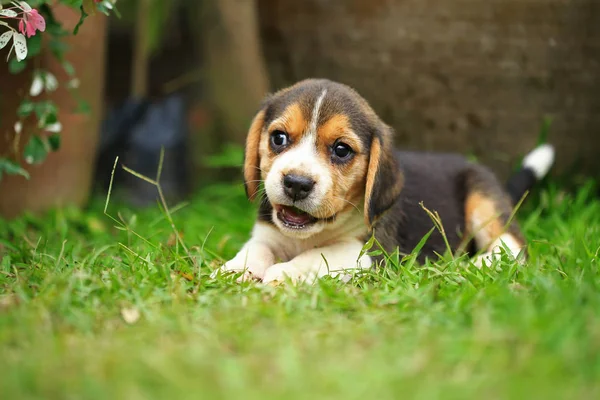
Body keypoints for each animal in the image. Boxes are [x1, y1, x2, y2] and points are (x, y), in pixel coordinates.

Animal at [214, 79, 552, 284]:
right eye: (279, 138)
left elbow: (319, 256)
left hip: (483, 198)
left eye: (341, 150)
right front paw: (233, 270)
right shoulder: (267, 234)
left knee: (511, 247)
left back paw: (472, 265)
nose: (296, 183)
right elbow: (255, 249)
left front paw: (283, 273)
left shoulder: (371, 252)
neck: (309, 234)